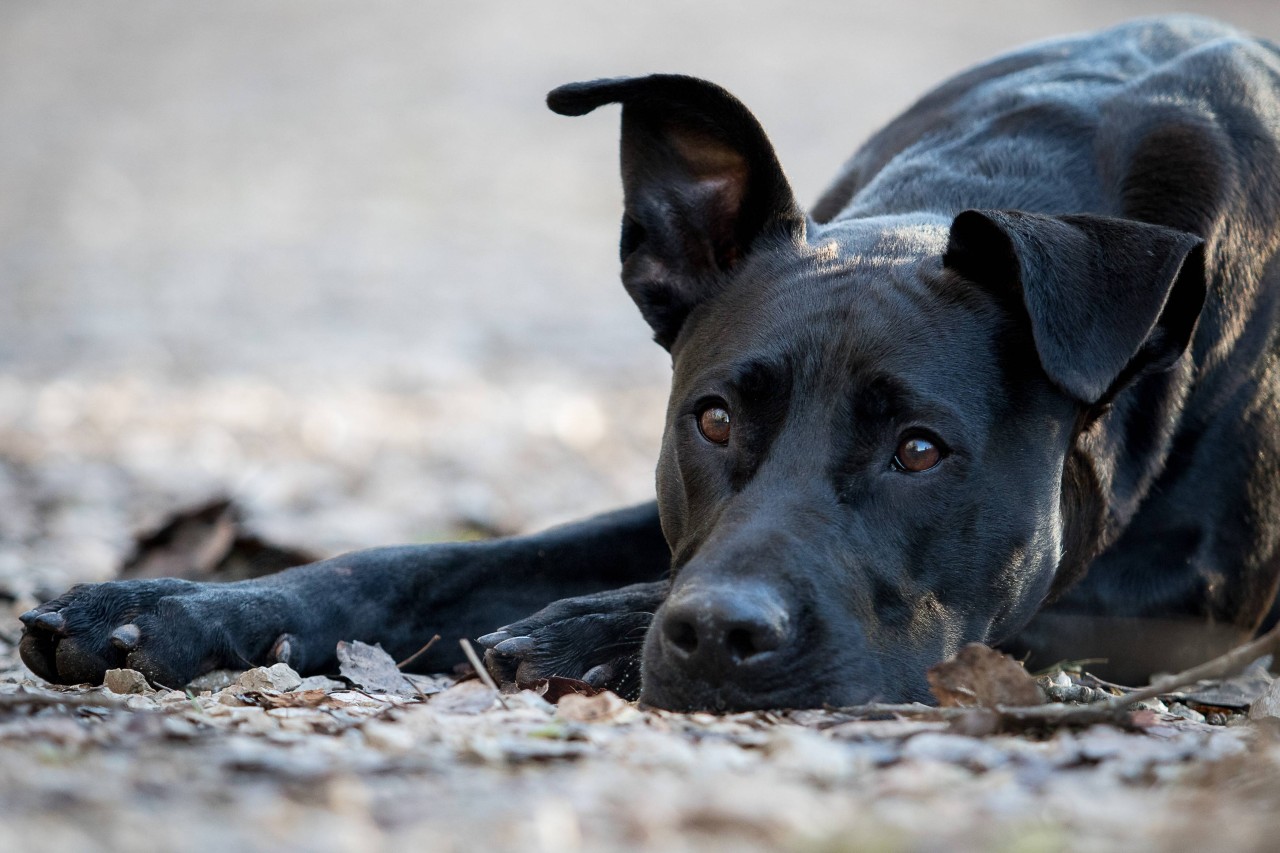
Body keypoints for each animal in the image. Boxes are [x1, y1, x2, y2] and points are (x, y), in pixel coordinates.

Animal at [17, 18, 1280, 712]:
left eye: (920, 450)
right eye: (712, 422)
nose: (714, 634)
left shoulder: (1182, 607)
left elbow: (1025, 612)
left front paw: (586, 629)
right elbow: (426, 560)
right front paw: (171, 605)